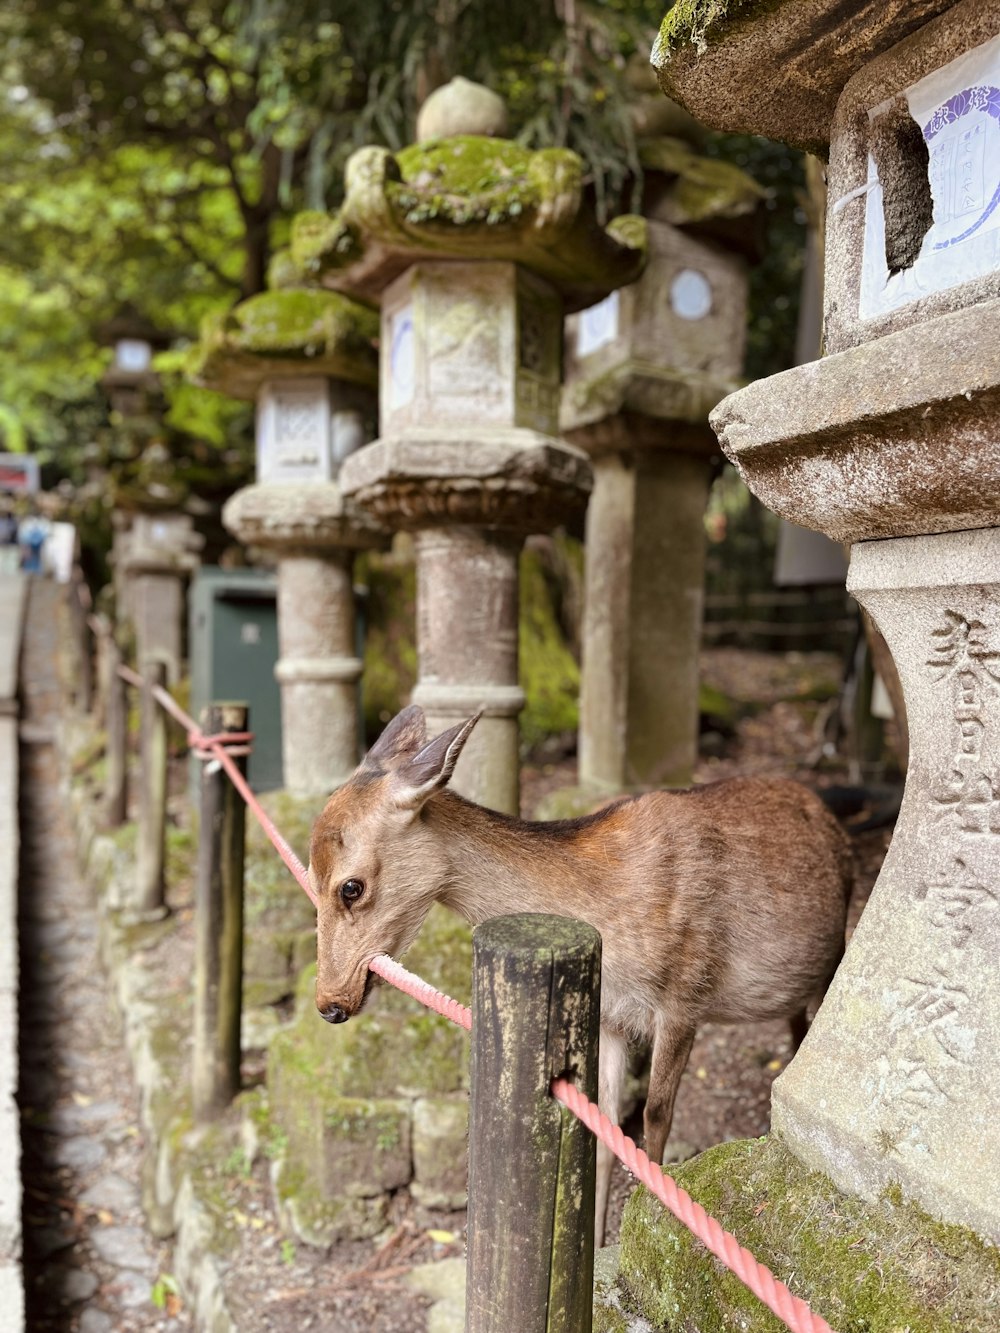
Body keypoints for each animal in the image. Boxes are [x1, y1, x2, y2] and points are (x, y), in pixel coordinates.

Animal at [312, 703, 853, 1242]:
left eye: (351, 887)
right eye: (314, 884)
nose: (329, 1003)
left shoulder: (684, 995)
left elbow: (656, 1114)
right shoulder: (611, 1016)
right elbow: (605, 1125)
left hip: (833, 958)